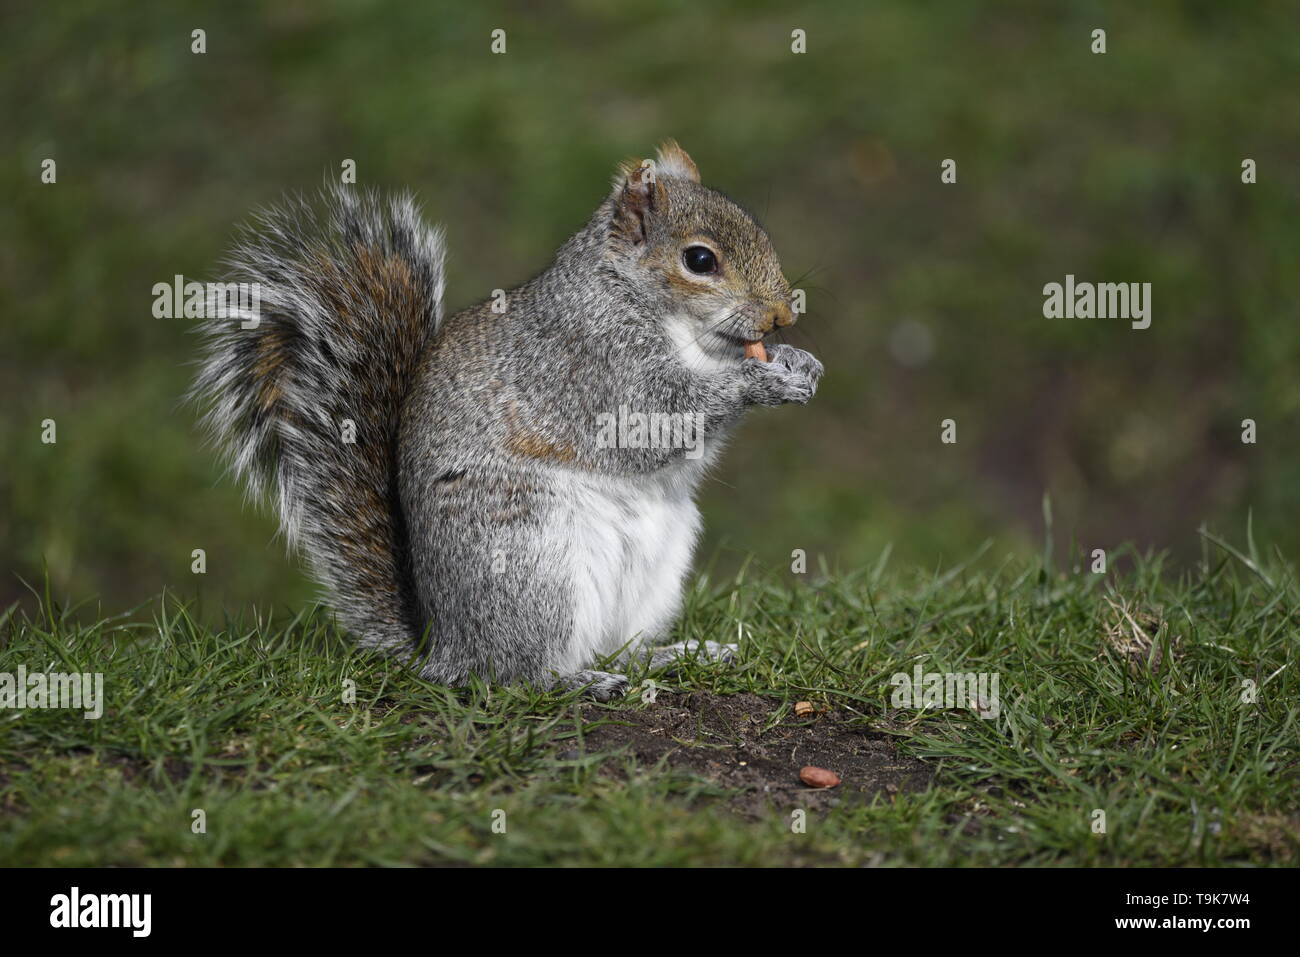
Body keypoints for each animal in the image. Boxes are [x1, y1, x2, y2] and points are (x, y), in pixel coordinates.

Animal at [192, 141, 823, 699]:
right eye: (699, 260)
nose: (782, 314)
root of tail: (443, 647)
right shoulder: (590, 367)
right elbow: (658, 418)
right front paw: (760, 382)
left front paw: (797, 362)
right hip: (531, 562)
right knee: (513, 672)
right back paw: (576, 681)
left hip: (656, 570)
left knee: (614, 647)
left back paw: (676, 654)